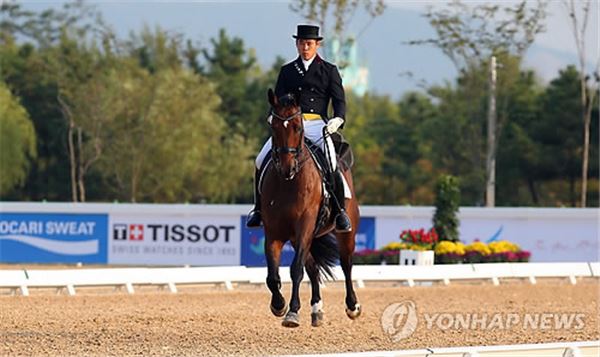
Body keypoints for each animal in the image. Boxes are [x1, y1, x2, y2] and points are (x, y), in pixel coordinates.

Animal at [258, 87, 360, 326]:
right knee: (313, 267)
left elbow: (295, 269)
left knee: (346, 263)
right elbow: (272, 275)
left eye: (298, 126)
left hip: (345, 232)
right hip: (300, 238)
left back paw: (352, 306)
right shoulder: (274, 232)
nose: (287, 168)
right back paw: (316, 310)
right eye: (273, 127)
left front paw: (292, 312)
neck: (288, 183)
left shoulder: (304, 225)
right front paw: (279, 305)